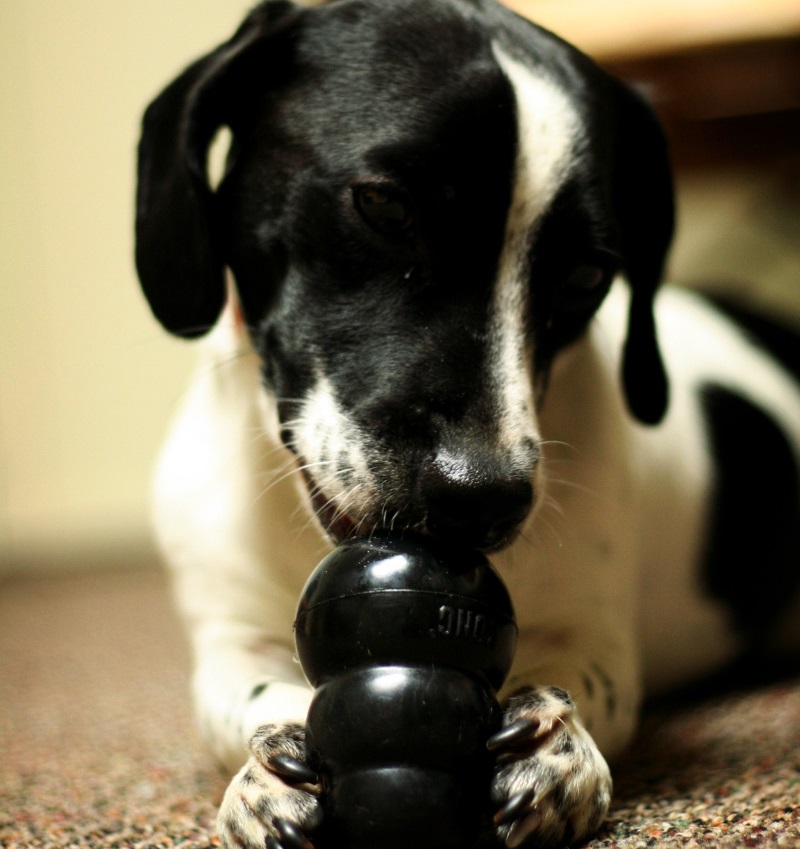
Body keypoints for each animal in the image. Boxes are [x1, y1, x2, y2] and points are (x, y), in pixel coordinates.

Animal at [135, 1, 800, 846]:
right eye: (384, 205)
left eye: (587, 274)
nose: (483, 498)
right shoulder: (229, 637)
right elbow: (256, 695)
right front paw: (269, 769)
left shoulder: (597, 632)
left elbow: (577, 674)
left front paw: (557, 747)